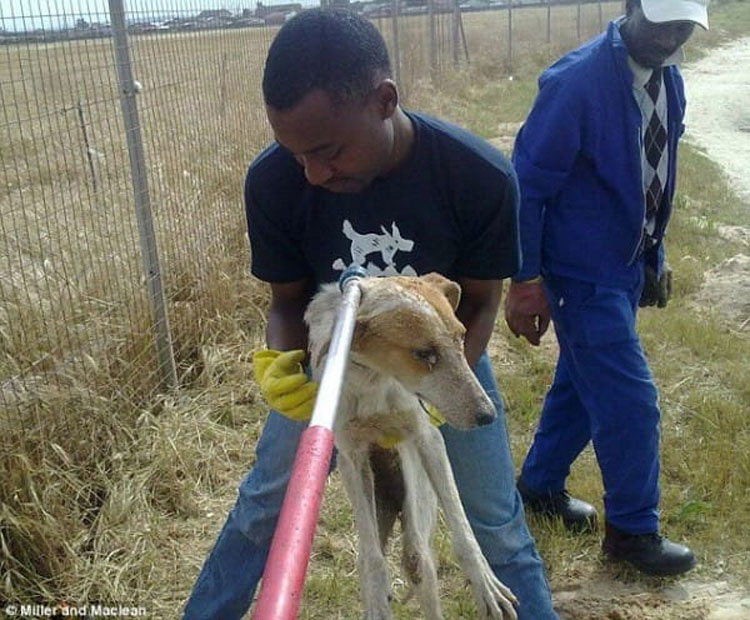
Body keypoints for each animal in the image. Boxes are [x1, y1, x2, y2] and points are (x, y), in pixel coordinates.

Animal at [306, 274, 516, 616]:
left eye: (461, 337)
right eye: (424, 354)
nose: (488, 415)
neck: (373, 380)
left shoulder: (427, 437)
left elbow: (464, 534)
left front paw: (485, 583)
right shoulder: (352, 456)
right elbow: (373, 563)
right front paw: (378, 604)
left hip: (416, 497)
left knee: (419, 559)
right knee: (371, 556)